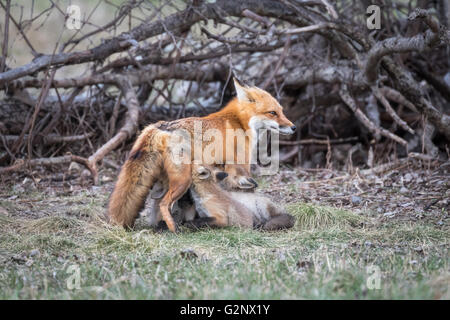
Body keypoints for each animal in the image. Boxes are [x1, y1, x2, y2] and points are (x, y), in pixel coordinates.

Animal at [107, 78, 298, 231]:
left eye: (281, 111)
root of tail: (160, 127)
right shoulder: (240, 168)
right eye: (272, 113)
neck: (239, 122)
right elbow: (244, 192)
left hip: (163, 182)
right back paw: (173, 228)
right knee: (164, 204)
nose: (294, 127)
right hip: (182, 180)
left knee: (156, 206)